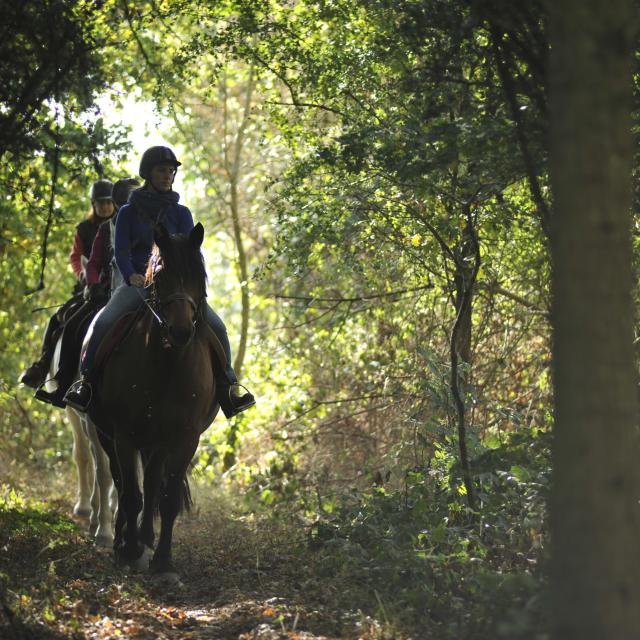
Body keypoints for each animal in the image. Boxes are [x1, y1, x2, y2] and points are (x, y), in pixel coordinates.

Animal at [87, 222, 219, 584]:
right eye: (160, 276)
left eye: (199, 274)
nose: (181, 331)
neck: (167, 363)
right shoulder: (124, 434)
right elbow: (131, 495)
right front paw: (130, 551)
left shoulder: (185, 437)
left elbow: (167, 497)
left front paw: (163, 563)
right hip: (107, 434)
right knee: (121, 482)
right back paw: (123, 540)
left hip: (157, 440)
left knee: (151, 481)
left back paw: (145, 538)